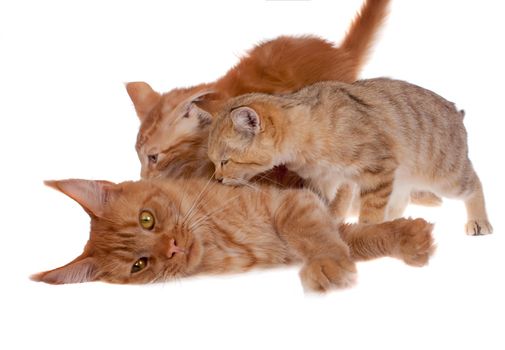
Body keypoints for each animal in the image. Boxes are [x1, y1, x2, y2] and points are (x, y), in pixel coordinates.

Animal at [30, 178, 434, 292]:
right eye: (139, 265)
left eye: (147, 219)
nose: (172, 248)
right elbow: (358, 239)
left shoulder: (294, 204)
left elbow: (326, 235)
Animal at [207, 78, 490, 235]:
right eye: (213, 162)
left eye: (225, 161)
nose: (217, 178)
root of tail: (456, 112)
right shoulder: (329, 180)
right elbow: (331, 207)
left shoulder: (376, 171)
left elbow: (369, 211)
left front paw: (366, 232)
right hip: (403, 181)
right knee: (400, 203)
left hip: (446, 177)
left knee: (475, 183)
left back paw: (479, 222)